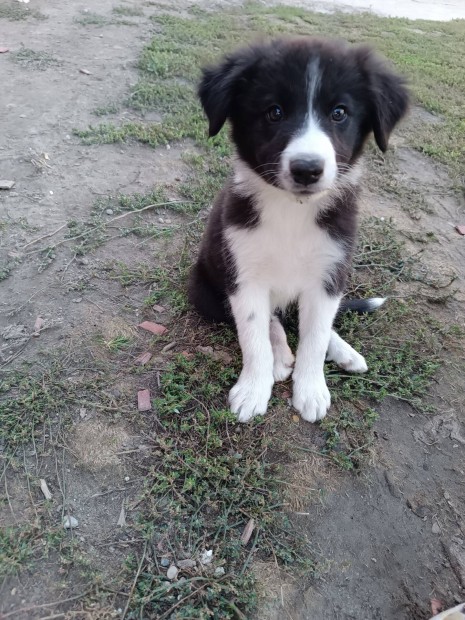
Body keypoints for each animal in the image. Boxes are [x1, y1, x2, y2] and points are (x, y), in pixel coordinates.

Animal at [187, 37, 408, 422]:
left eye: (339, 113)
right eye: (274, 112)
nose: (307, 169)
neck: (292, 211)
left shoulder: (331, 273)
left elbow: (315, 336)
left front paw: (311, 390)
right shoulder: (243, 275)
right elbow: (252, 335)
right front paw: (253, 390)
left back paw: (344, 352)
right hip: (204, 290)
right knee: (269, 319)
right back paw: (280, 354)